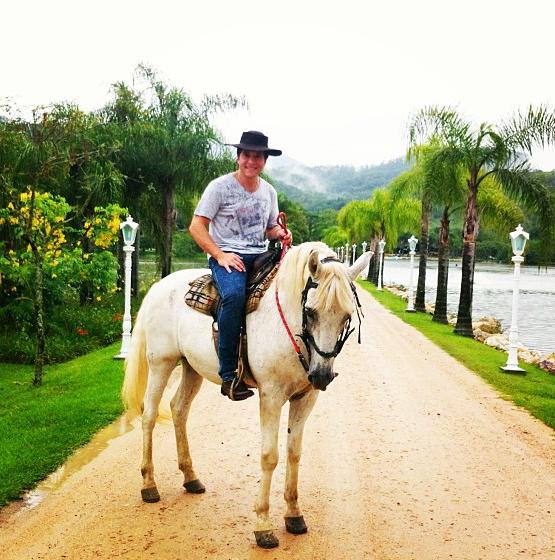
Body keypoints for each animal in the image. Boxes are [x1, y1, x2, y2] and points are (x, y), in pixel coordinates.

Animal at [121, 241, 374, 548]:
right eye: (311, 312)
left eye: (347, 316)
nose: (322, 376)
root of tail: (158, 286)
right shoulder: (271, 397)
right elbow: (269, 456)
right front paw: (263, 525)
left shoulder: (305, 399)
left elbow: (294, 454)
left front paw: (293, 514)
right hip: (161, 363)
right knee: (148, 415)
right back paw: (149, 484)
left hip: (191, 367)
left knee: (178, 409)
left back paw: (190, 478)